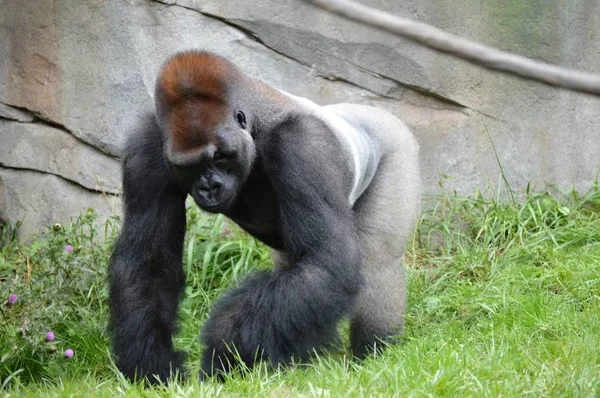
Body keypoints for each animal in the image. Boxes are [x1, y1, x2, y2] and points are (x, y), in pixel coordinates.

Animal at [108, 50, 420, 382]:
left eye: (219, 156)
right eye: (190, 166)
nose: (209, 187)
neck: (254, 124)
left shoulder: (303, 143)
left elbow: (326, 258)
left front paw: (224, 346)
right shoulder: (147, 146)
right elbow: (148, 260)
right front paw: (151, 361)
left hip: (396, 145)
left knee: (376, 260)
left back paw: (373, 352)